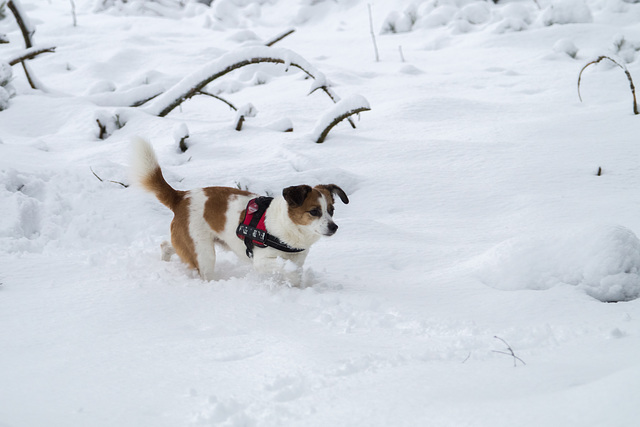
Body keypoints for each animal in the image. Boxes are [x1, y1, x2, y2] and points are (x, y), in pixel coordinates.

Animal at [131, 137, 350, 284]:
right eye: (314, 211)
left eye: (331, 210)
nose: (334, 227)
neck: (289, 229)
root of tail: (181, 196)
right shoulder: (262, 261)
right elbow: (284, 266)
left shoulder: (297, 258)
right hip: (203, 252)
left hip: (186, 243)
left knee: (167, 245)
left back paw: (165, 256)